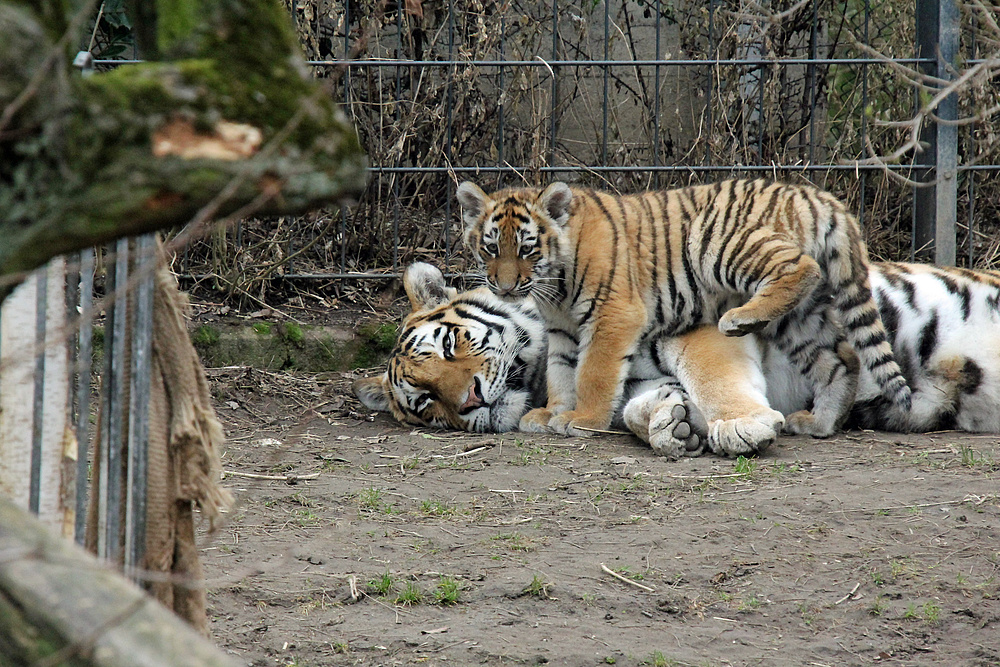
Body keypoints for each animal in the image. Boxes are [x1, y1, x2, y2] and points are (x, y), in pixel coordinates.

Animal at [354, 260, 1000, 460]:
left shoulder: (702, 328)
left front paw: (741, 426)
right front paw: (671, 423)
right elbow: (632, 407)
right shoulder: (630, 378)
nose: (467, 402)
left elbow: (712, 377)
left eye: (448, 346)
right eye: (427, 405)